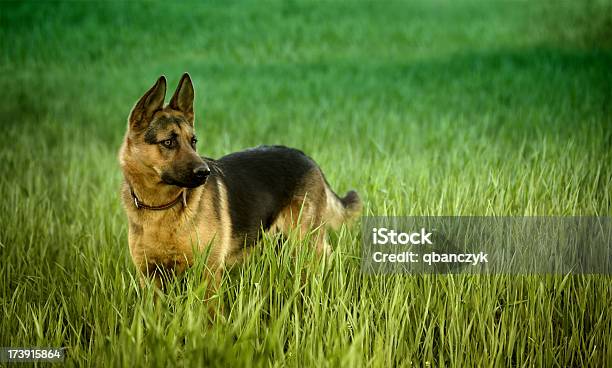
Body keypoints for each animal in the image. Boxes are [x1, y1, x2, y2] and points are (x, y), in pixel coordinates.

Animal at [117, 73, 360, 294]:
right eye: (168, 142)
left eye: (193, 141)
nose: (205, 173)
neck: (160, 207)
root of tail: (306, 157)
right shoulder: (150, 279)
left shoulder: (208, 273)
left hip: (307, 241)